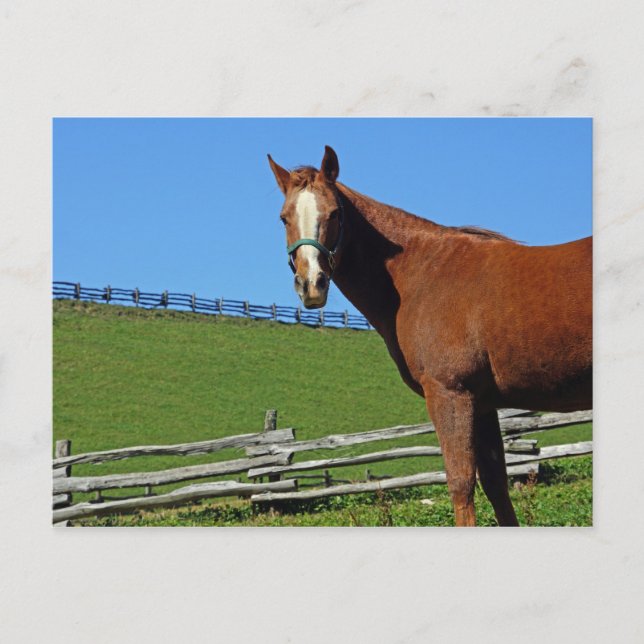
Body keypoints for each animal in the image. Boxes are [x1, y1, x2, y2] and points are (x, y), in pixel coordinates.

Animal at [268, 146, 592, 527]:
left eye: (334, 213)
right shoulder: (483, 405)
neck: (422, 274)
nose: (312, 284)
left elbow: (461, 485)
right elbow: (497, 488)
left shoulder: (450, 394)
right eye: (284, 218)